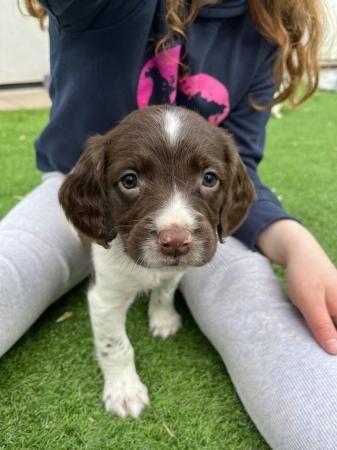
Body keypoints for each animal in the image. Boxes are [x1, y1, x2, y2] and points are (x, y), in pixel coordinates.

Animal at [59, 104, 253, 418]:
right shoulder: (105, 297)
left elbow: (164, 292)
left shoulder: (174, 272)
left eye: (209, 178)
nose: (175, 241)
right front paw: (125, 391)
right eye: (129, 180)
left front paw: (163, 319)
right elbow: (116, 346)